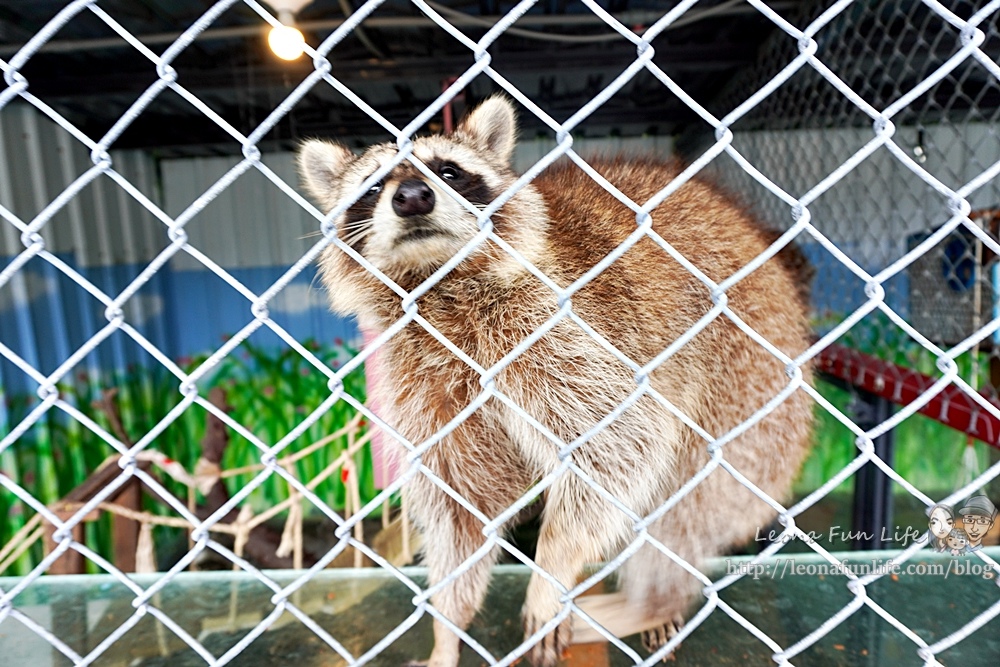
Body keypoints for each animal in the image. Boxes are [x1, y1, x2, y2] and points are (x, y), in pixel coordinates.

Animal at [296, 95, 812, 667]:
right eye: (373, 186)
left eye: (448, 172)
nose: (412, 196)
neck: (437, 283)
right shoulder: (425, 375)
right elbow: (463, 506)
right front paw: (447, 626)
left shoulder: (557, 327)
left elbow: (616, 445)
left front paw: (552, 566)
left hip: (752, 397)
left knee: (688, 502)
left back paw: (648, 603)